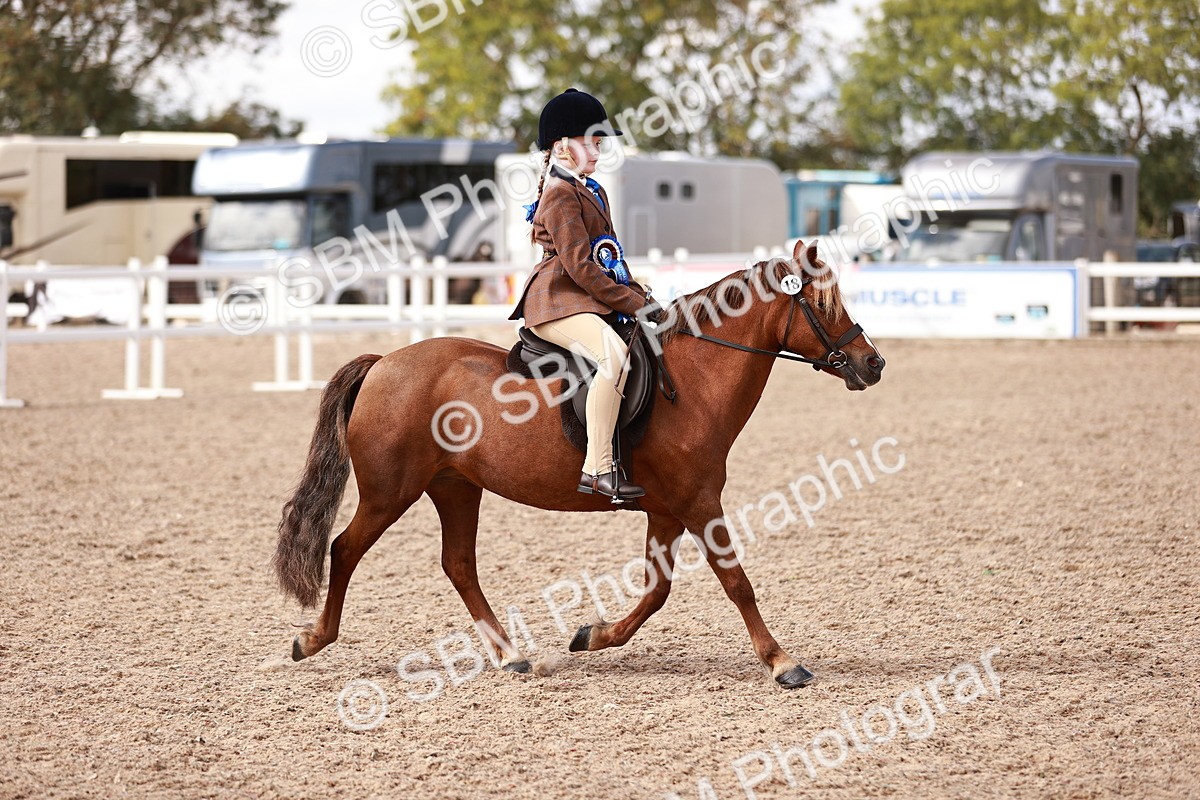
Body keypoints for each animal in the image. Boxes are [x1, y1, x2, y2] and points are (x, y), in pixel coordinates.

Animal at [273, 239, 885, 688]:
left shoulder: (667, 510)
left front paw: (593, 636)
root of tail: (383, 363)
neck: (694, 379)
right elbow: (737, 582)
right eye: (824, 304)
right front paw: (783, 663)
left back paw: (510, 656)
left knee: (459, 565)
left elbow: (657, 591)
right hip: (389, 491)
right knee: (344, 549)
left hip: (455, 487)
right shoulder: (698, 502)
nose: (872, 363)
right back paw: (311, 639)